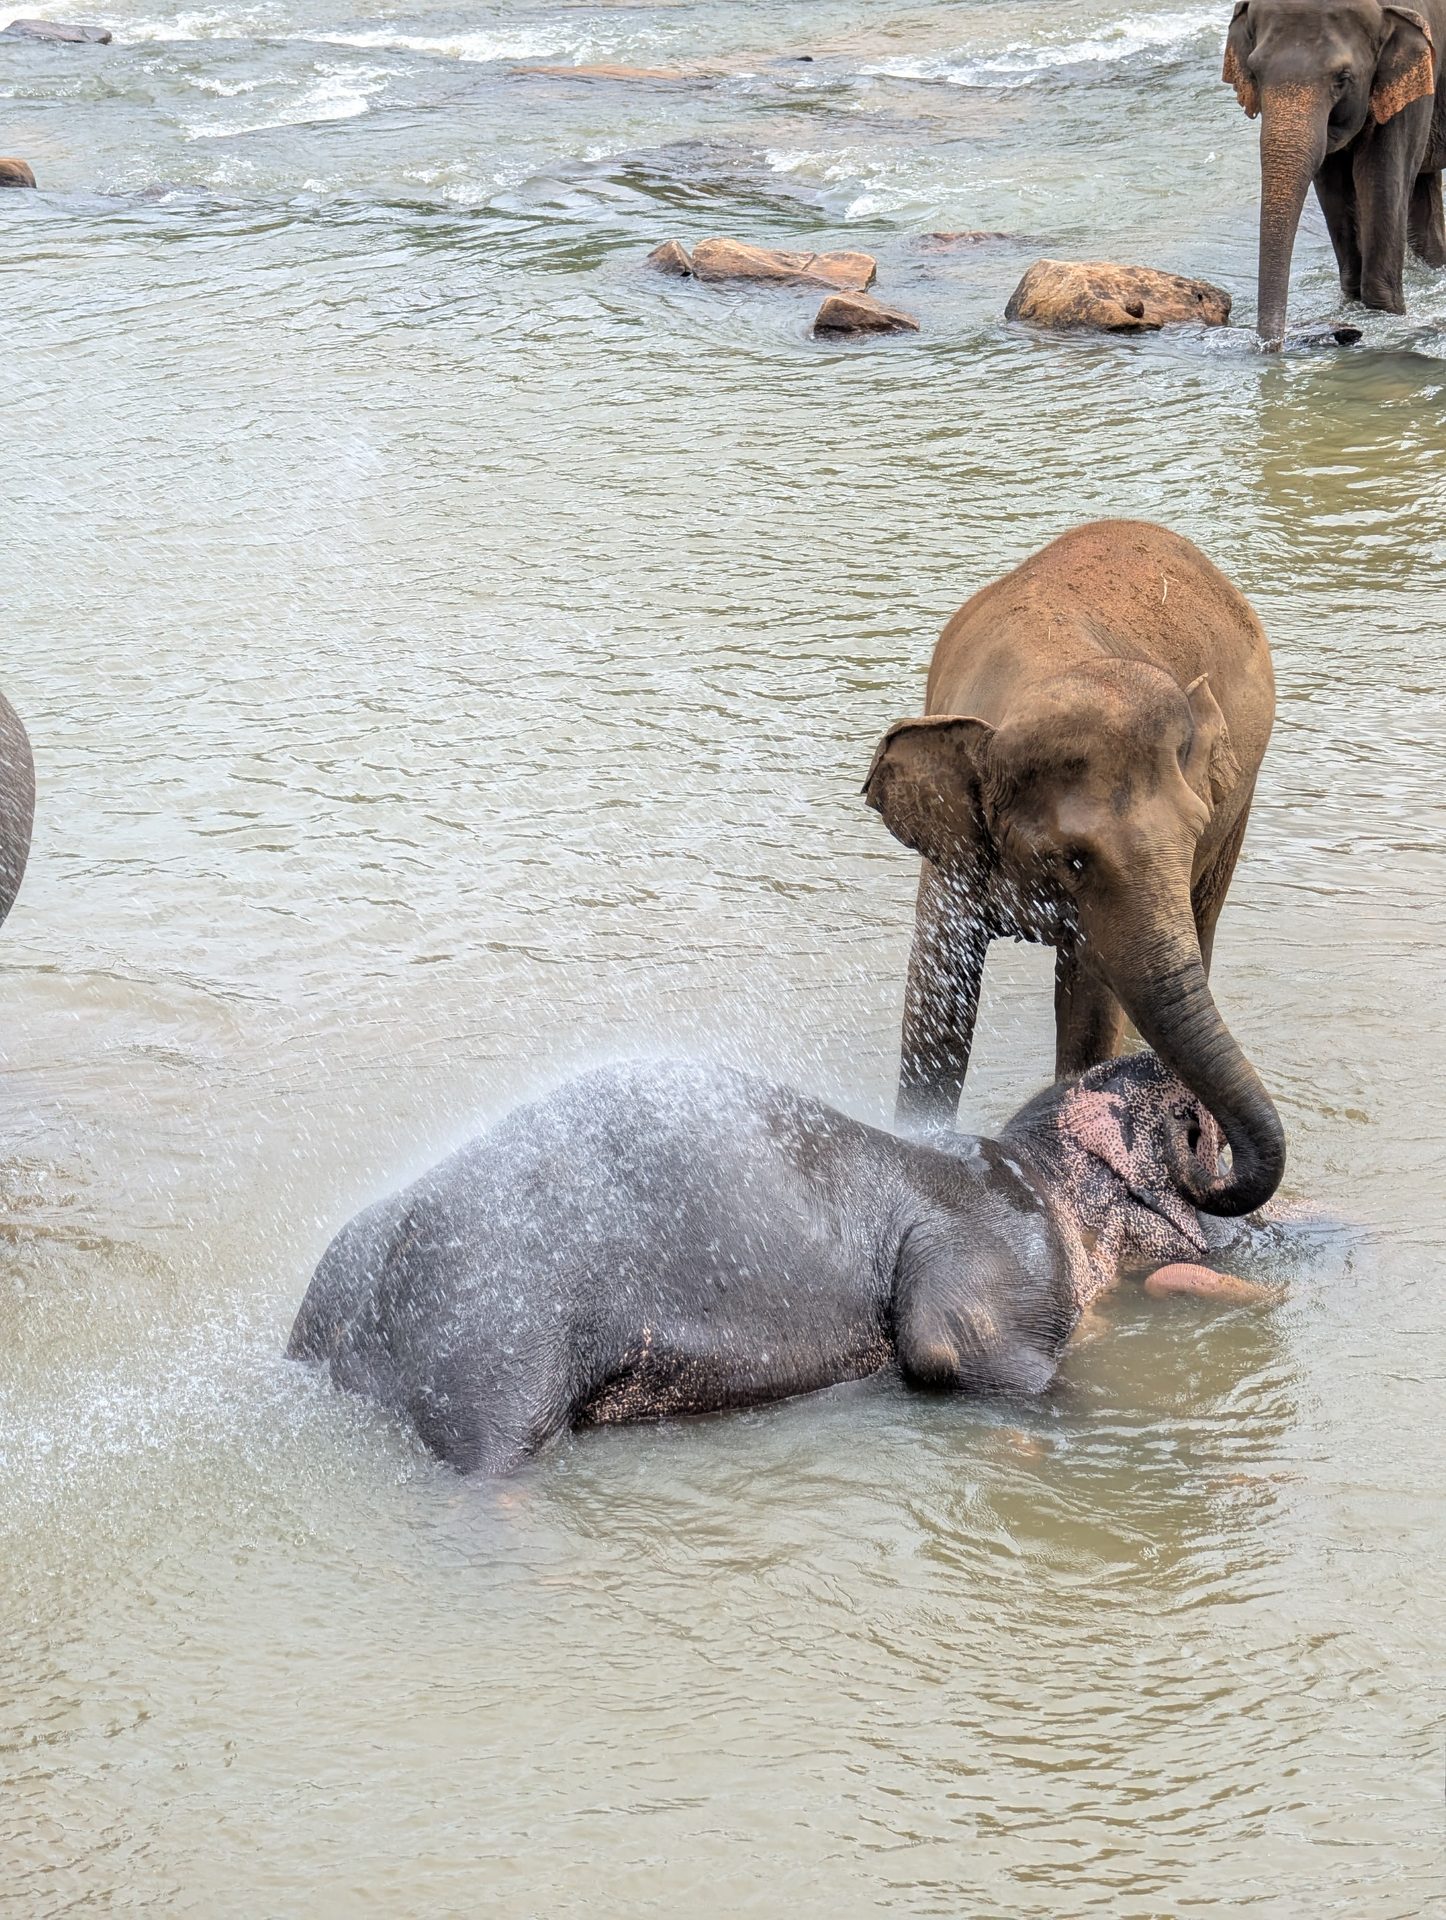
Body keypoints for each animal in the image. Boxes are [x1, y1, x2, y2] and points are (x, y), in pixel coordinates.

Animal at [863, 519, 1283, 1219]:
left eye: (1191, 833)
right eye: (1072, 859)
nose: (1202, 1159)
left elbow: (1088, 1004)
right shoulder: (953, 847)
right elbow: (937, 1003)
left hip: (1243, 794)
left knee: (1201, 927)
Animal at [1223, 0, 1446, 344]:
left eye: (1343, 77)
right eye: (1255, 72)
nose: (1270, 345)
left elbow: (1382, 174)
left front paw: (1385, 313)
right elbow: (1333, 180)